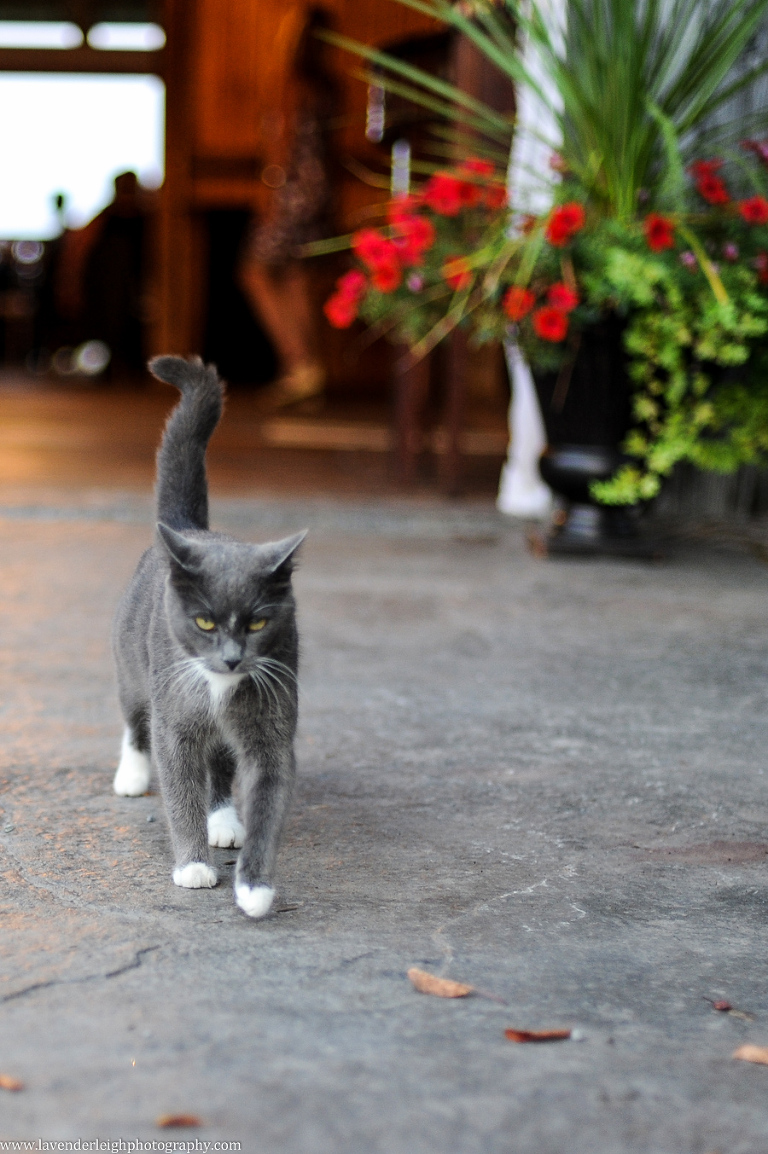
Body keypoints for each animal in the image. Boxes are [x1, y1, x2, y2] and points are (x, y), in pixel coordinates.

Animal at [112, 353, 304, 918]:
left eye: (258, 622)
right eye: (203, 622)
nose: (233, 658)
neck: (219, 687)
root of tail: (188, 530)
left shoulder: (272, 727)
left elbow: (267, 797)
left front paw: (255, 888)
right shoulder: (175, 719)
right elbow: (179, 788)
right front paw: (193, 866)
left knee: (219, 766)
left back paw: (223, 820)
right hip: (132, 664)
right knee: (135, 718)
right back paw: (132, 775)